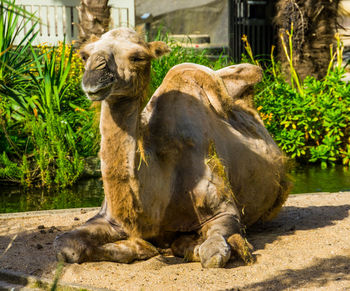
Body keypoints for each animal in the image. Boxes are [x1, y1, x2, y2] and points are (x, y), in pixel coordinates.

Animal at [54, 28, 290, 270]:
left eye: (138, 57)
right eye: (84, 55)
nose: (94, 75)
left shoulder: (224, 212)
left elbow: (212, 254)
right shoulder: (109, 218)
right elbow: (66, 245)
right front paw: (142, 247)